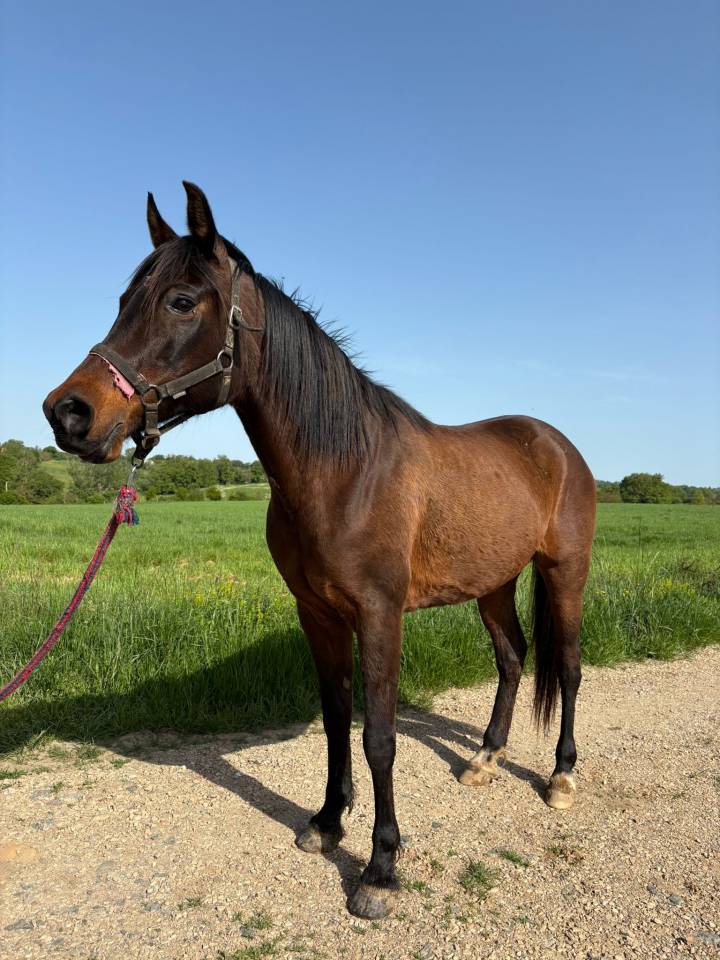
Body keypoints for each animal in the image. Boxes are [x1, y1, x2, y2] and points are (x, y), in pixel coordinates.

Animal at [43, 182, 596, 919]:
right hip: (494, 584)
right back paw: (483, 760)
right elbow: (336, 722)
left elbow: (379, 737)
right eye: (123, 299)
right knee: (512, 659)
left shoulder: (379, 615)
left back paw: (560, 776)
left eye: (181, 301)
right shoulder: (318, 614)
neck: (343, 470)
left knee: (568, 667)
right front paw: (328, 823)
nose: (68, 412)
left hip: (564, 573)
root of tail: (556, 443)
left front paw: (380, 869)